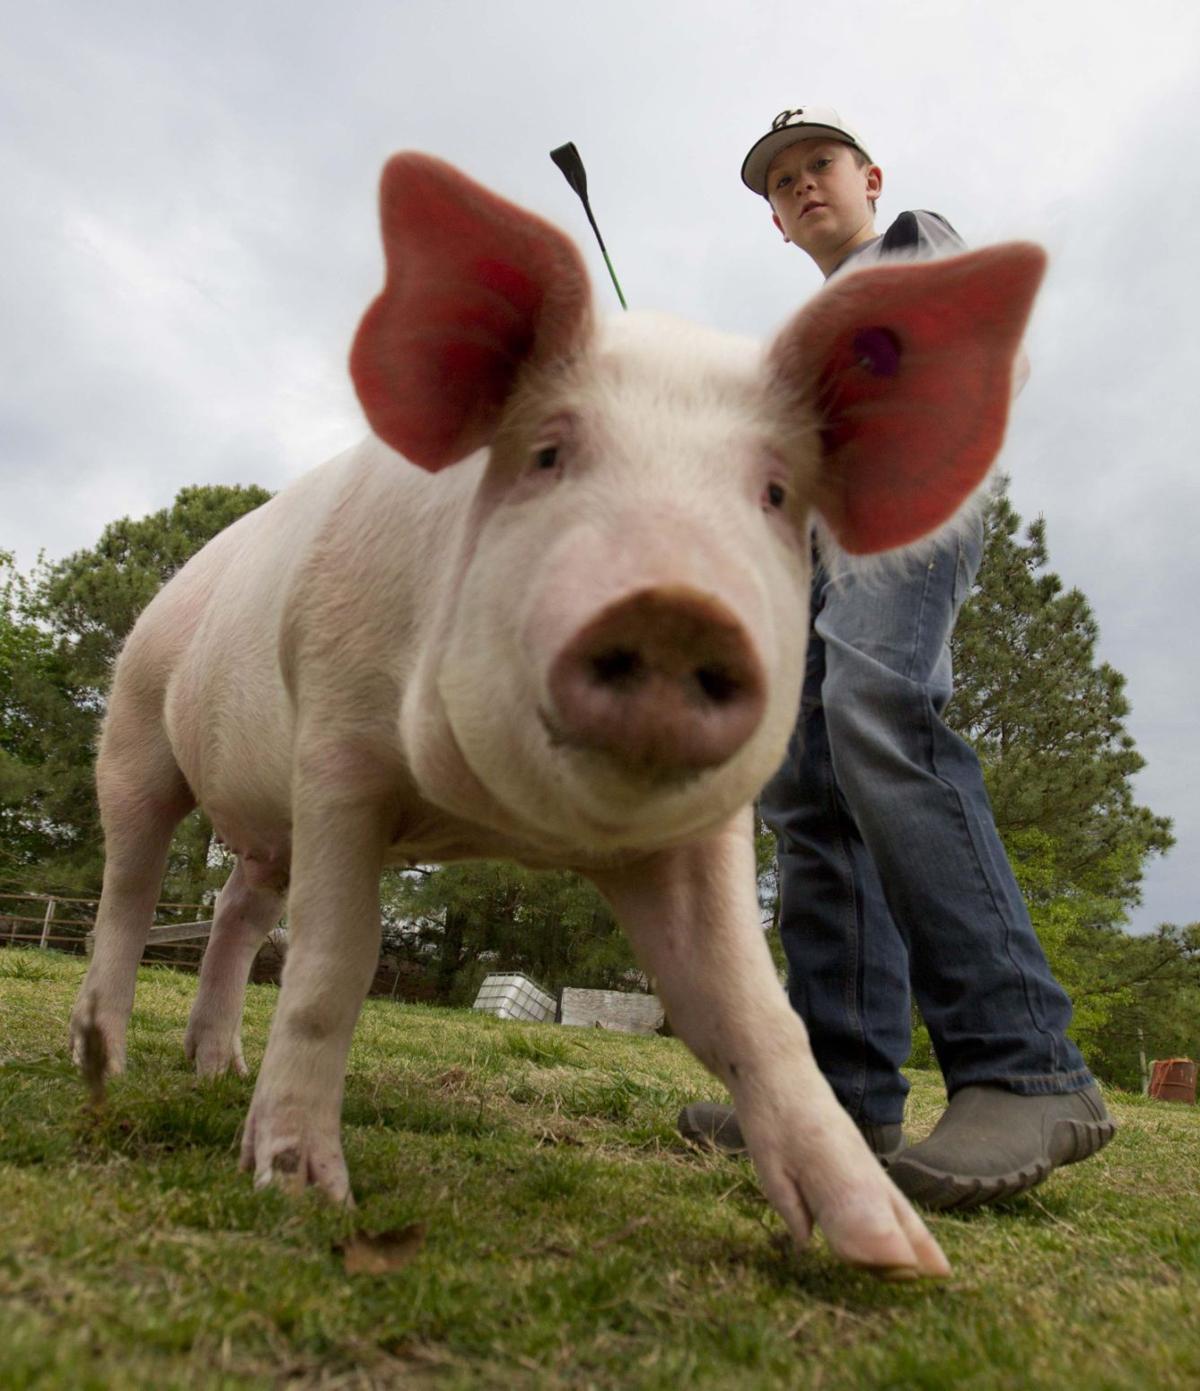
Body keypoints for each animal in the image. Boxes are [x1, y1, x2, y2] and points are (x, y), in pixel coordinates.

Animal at [69, 153, 1044, 1280]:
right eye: (546, 454)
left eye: (773, 493)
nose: (675, 605)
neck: (503, 825)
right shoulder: (337, 742)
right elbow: (333, 964)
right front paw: (303, 1192)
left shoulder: (706, 828)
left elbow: (748, 1011)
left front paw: (900, 1254)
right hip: (138, 727)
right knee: (130, 887)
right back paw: (101, 1064)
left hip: (262, 818)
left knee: (234, 908)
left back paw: (215, 1070)